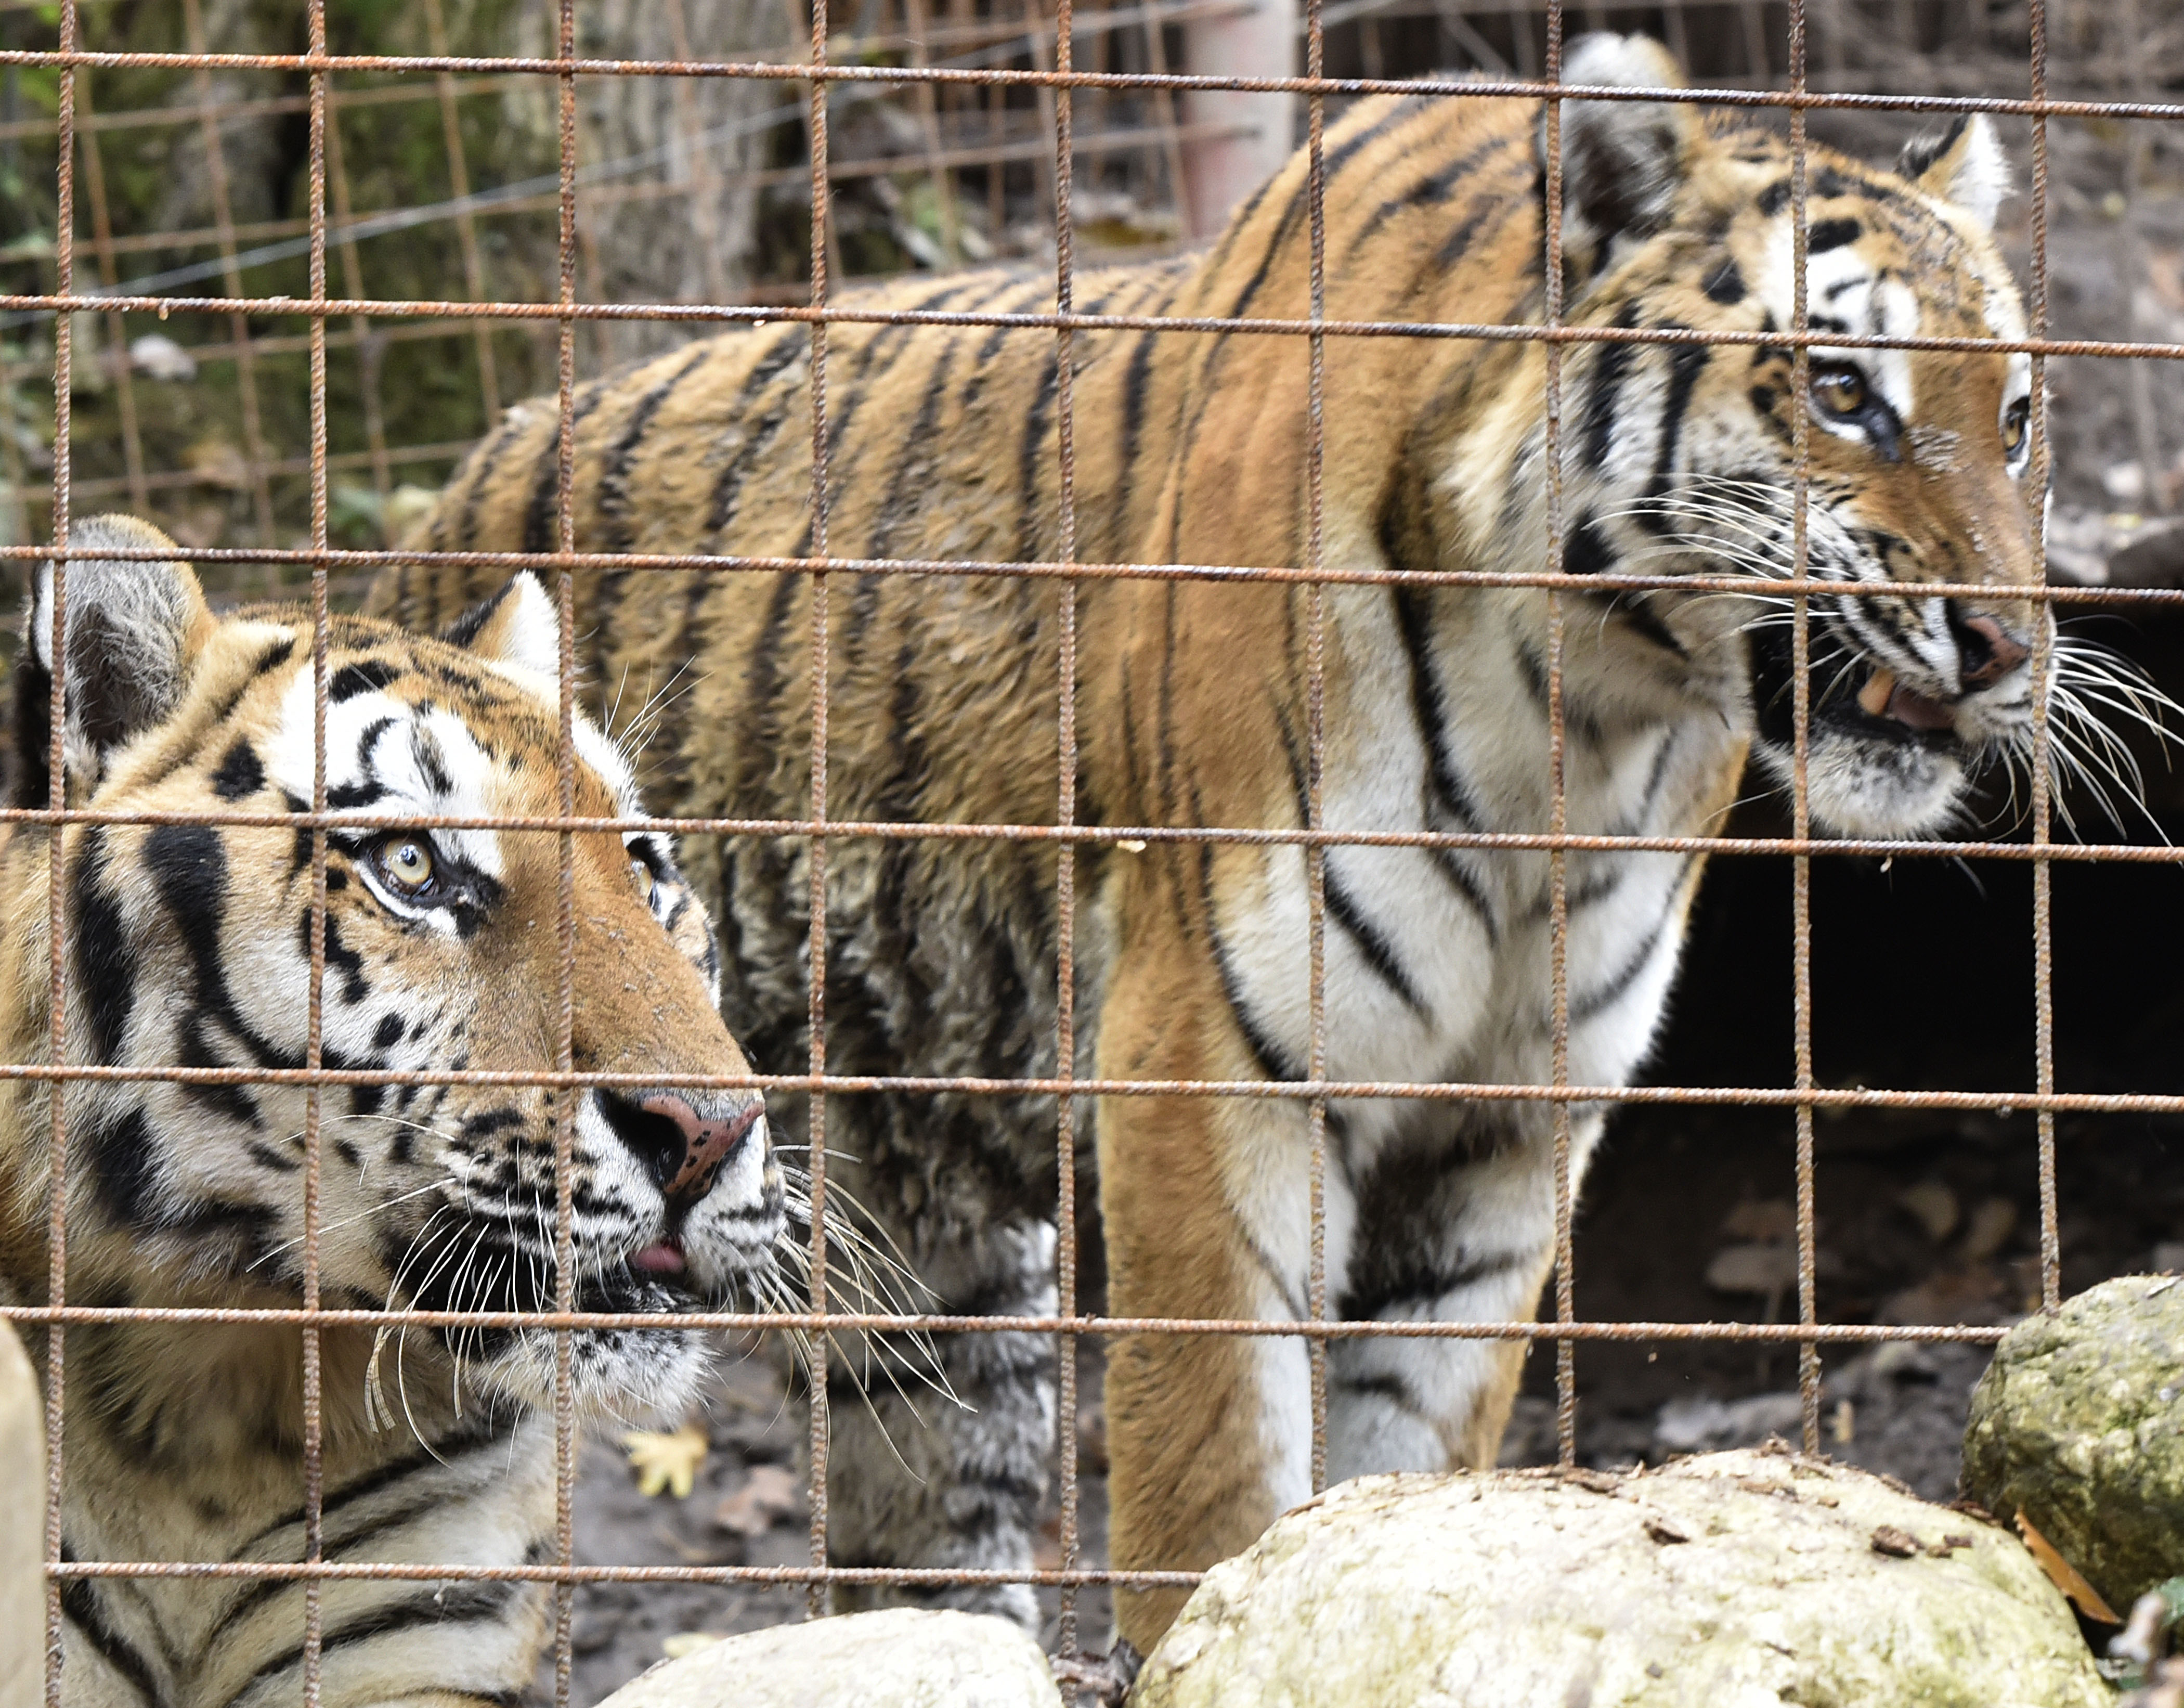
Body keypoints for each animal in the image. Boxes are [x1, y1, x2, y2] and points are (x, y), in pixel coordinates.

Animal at [371, 33, 2062, 1653]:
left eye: (2016, 419)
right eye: (1839, 390)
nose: (2006, 645)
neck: (1590, 729)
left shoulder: (1504, 1122)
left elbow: (1406, 1453)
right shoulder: (1209, 1055)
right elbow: (1218, 1476)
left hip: (914, 1252)